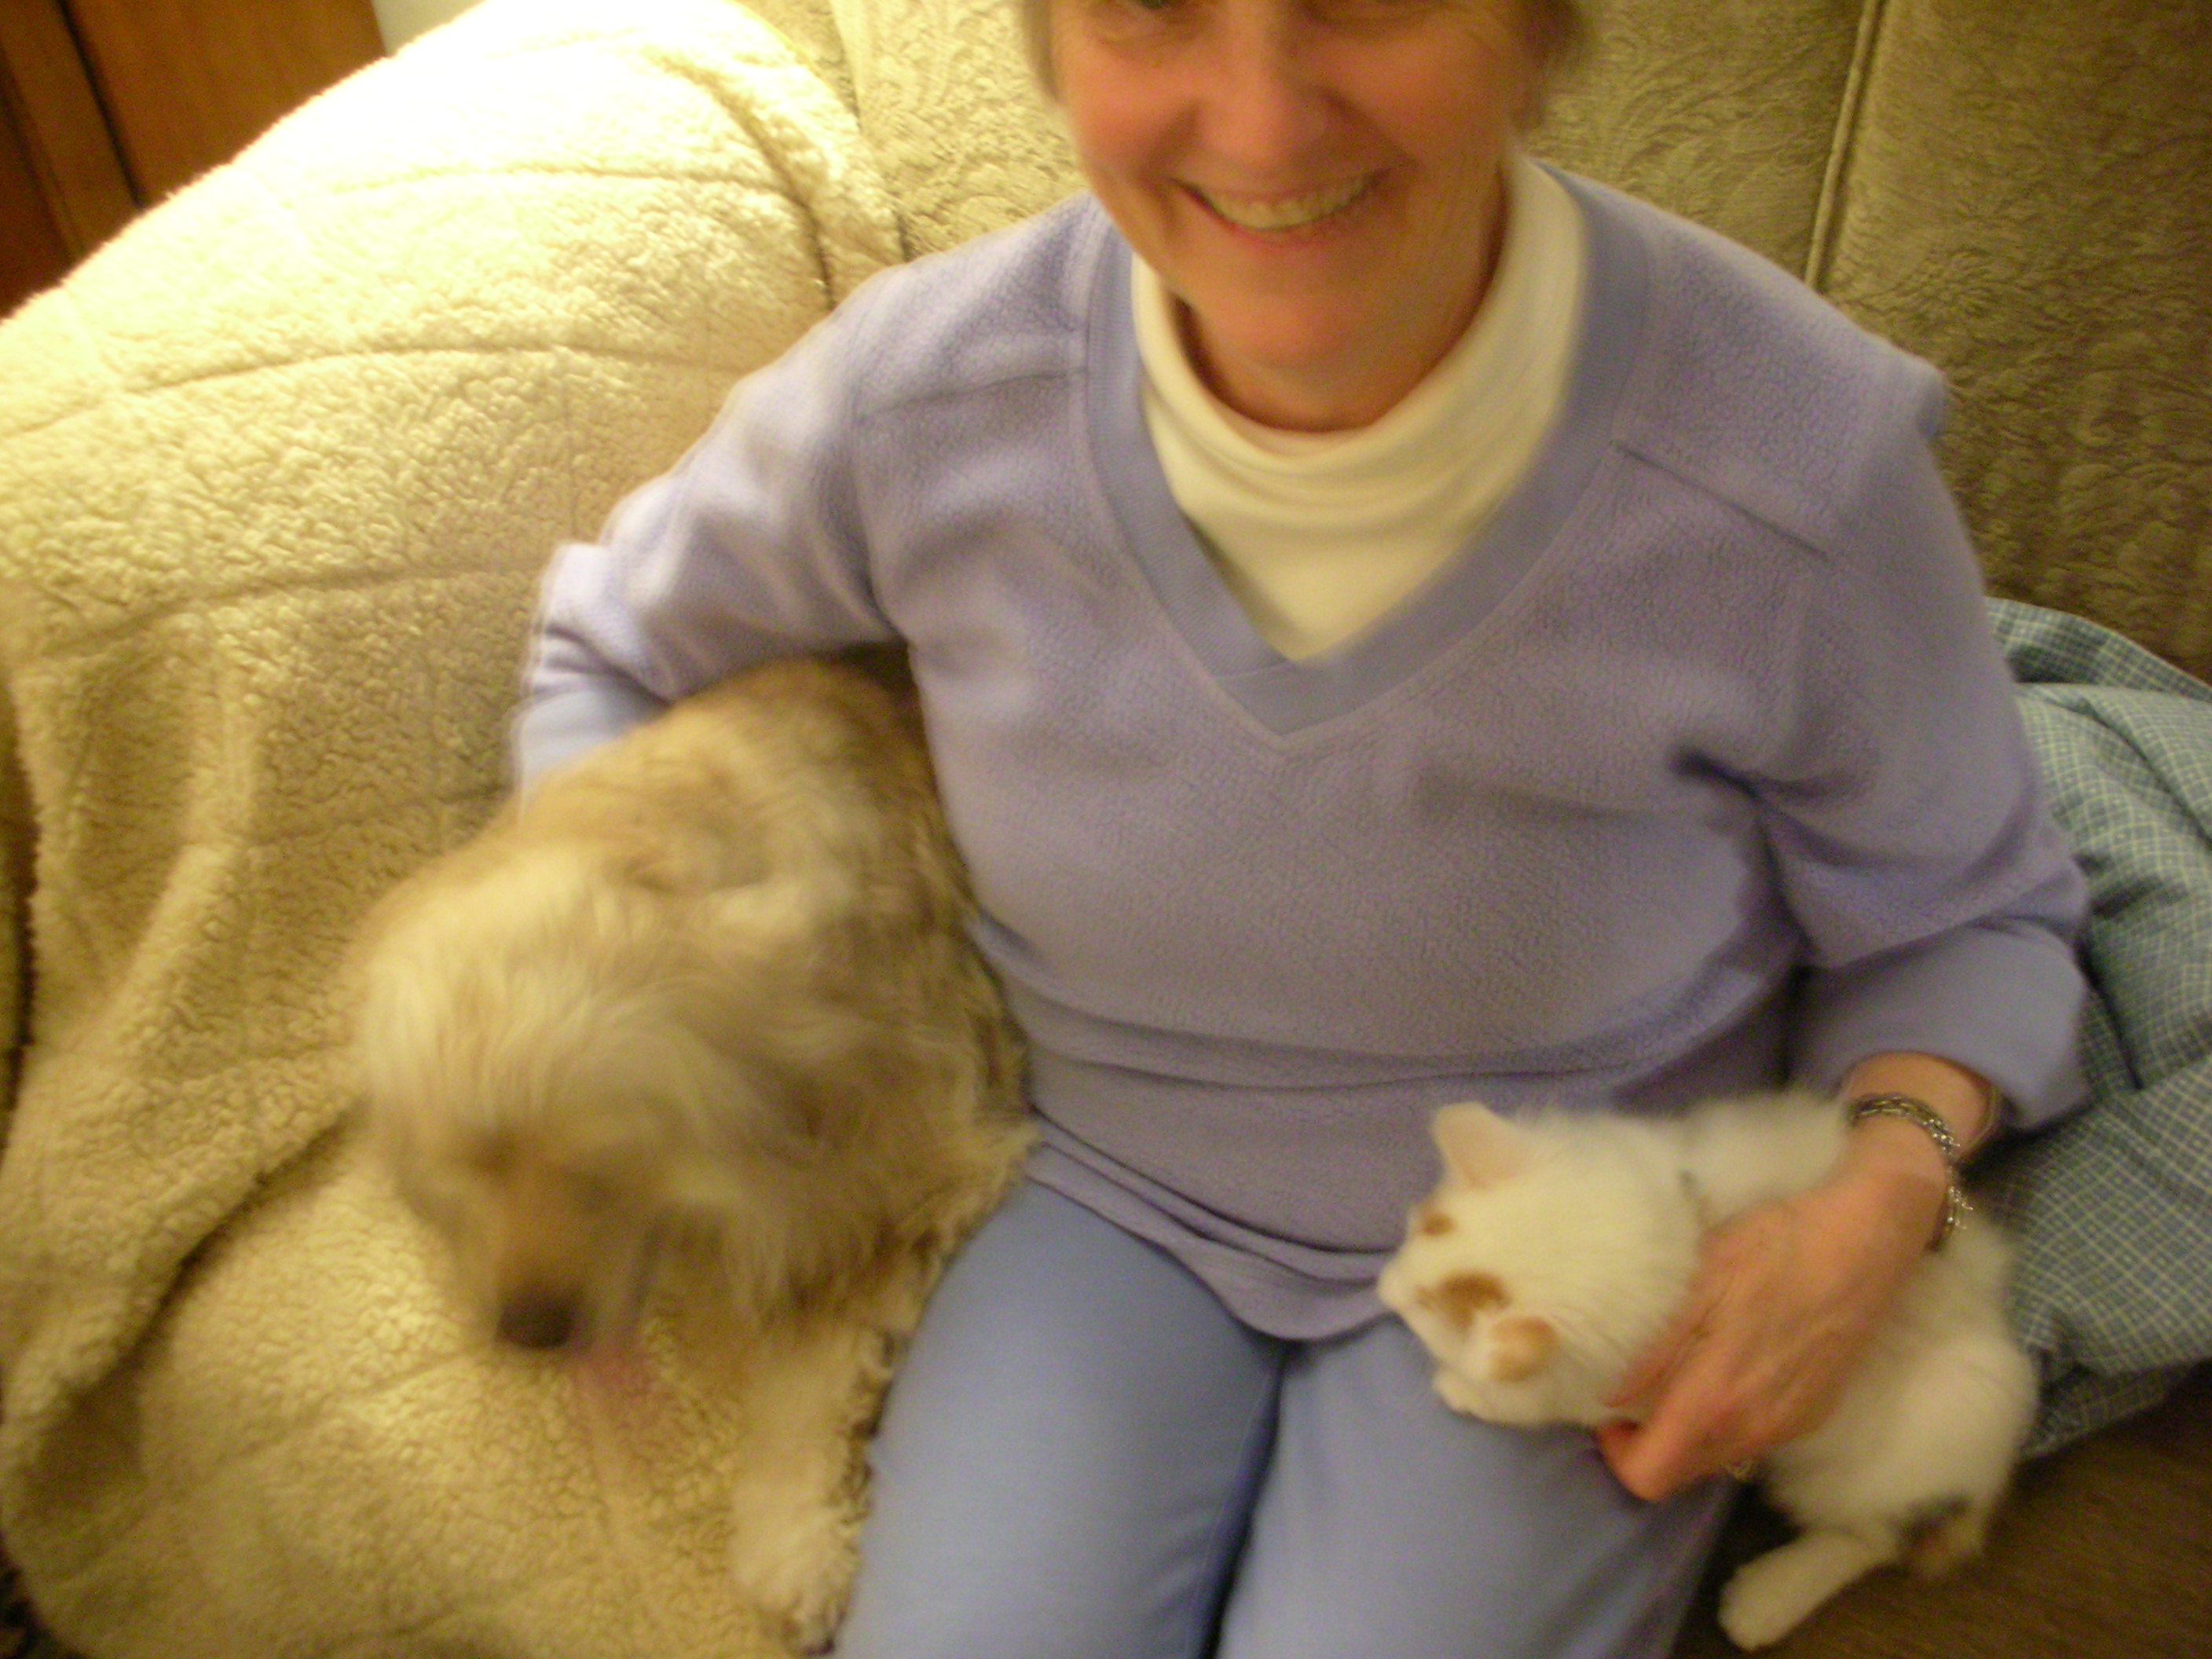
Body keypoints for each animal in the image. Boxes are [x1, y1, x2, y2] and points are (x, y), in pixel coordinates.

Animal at [350, 647, 1029, 1642]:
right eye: (462, 1177)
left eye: (599, 1178)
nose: (530, 1333)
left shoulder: (911, 1168)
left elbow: (803, 1373)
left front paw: (791, 1545)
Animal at [1376, 1090, 2037, 1649]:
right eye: (1420, 1228)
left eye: (1430, 1314)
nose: (1384, 1291)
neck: (1674, 1243)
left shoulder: (1614, 1387)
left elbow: (1528, 1400)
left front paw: (1460, 1387)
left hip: (1906, 1436)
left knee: (1873, 1539)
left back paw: (1766, 1600)